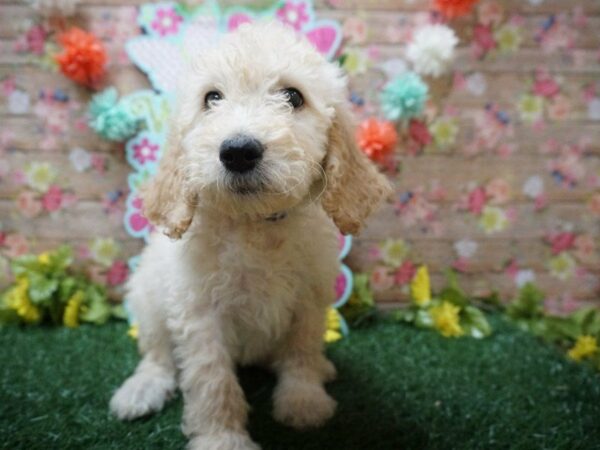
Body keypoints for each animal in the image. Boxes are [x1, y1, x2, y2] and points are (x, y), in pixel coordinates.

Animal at [109, 20, 390, 450]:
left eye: (293, 96)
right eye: (212, 98)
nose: (239, 150)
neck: (255, 224)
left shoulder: (309, 300)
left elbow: (301, 351)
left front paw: (304, 401)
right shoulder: (199, 314)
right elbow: (212, 380)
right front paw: (222, 438)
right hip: (148, 297)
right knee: (157, 354)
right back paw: (142, 390)